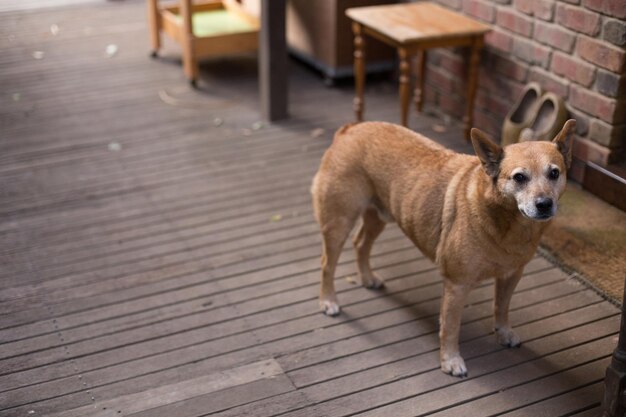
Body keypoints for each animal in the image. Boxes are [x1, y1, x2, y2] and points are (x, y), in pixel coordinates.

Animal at [312, 118, 576, 376]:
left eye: (554, 173)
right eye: (519, 177)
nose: (544, 204)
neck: (507, 226)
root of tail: (351, 128)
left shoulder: (511, 275)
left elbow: (501, 307)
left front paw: (503, 332)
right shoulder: (457, 285)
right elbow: (450, 327)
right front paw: (450, 360)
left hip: (379, 215)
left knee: (360, 243)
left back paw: (367, 277)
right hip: (339, 222)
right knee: (327, 263)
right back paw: (329, 301)